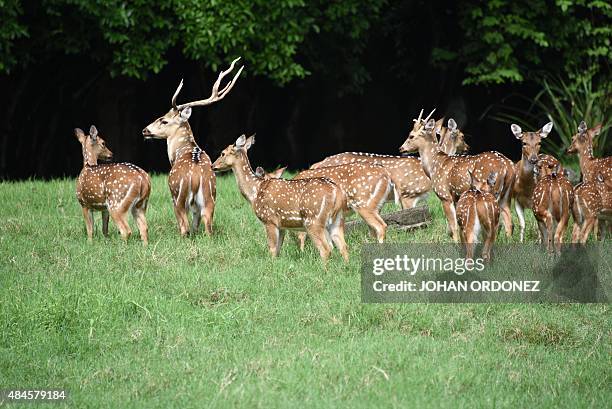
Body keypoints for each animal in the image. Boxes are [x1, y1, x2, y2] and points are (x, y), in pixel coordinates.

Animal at [142, 57, 245, 236]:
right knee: (207, 226)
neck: (180, 151)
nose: (145, 130)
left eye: (164, 120)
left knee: (185, 227)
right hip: (210, 196)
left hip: (178, 196)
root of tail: (196, 177)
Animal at [212, 134, 350, 262]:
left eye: (223, 153)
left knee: (326, 249)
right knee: (343, 247)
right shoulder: (282, 225)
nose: (213, 166)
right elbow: (278, 250)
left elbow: (272, 249)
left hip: (313, 220)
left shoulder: (269, 219)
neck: (255, 191)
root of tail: (337, 193)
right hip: (337, 220)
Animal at [402, 114, 516, 242]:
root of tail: (507, 166)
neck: (433, 166)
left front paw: (455, 242)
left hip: (490, 189)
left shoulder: (445, 195)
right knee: (509, 222)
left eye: (411, 135)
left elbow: (453, 225)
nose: (401, 148)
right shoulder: (456, 196)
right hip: (507, 193)